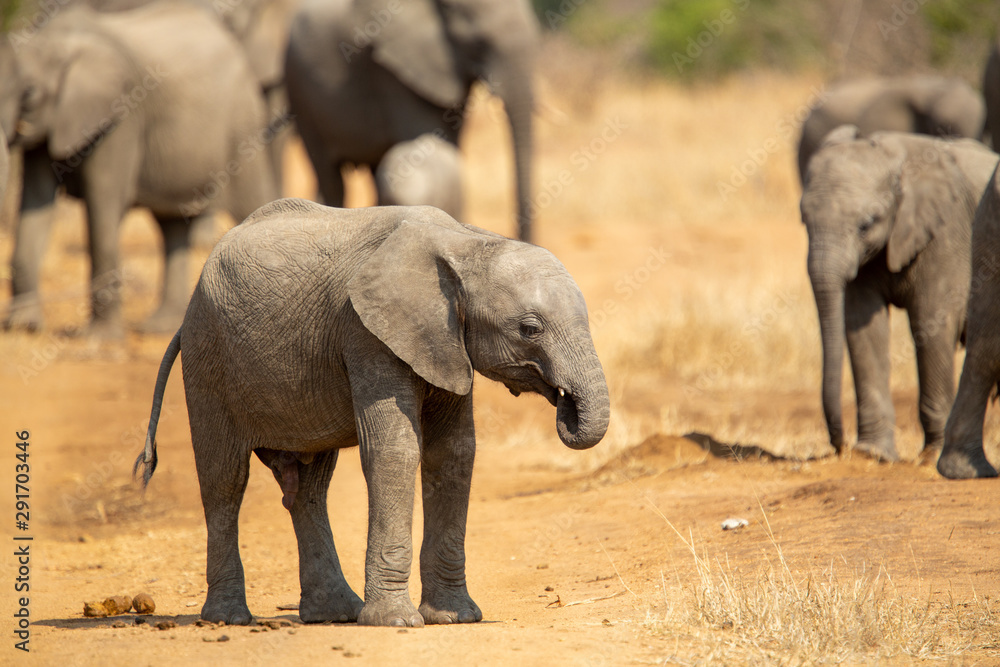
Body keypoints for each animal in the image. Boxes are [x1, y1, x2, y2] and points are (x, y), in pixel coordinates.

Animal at [3, 2, 278, 338]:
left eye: (29, 94)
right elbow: (35, 202)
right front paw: (23, 326)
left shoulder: (122, 116)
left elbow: (103, 204)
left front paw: (100, 341)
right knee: (172, 225)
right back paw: (160, 327)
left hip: (242, 121)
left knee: (251, 202)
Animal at [134, 199, 610, 626]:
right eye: (529, 329)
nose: (564, 404)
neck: (467, 241)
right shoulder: (365, 332)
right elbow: (395, 451)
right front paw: (396, 621)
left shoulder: (443, 342)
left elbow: (454, 454)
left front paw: (455, 618)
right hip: (208, 356)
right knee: (224, 480)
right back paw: (227, 618)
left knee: (309, 488)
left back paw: (334, 614)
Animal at [801, 125, 998, 461]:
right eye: (803, 219)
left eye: (867, 224)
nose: (839, 446)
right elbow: (863, 330)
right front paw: (873, 454)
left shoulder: (946, 231)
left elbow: (930, 323)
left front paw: (930, 457)